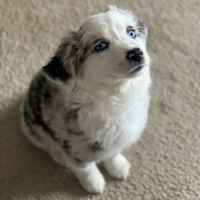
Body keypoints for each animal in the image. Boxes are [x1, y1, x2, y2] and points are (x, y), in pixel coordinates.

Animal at [21, 5, 151, 194]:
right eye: (100, 46)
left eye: (131, 33)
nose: (136, 53)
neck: (114, 96)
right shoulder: (73, 143)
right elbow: (84, 167)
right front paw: (93, 183)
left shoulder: (117, 136)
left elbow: (112, 153)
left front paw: (117, 167)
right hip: (32, 127)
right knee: (47, 144)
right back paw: (59, 156)